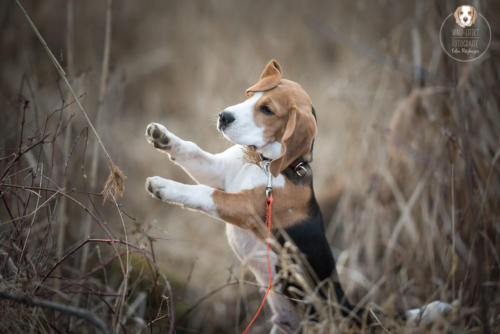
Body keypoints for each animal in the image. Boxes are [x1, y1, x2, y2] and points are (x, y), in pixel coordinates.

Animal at [146, 59, 454, 332]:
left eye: (267, 109)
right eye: (250, 94)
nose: (224, 116)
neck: (263, 163)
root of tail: (348, 309)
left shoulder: (245, 206)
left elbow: (204, 192)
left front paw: (165, 186)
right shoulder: (218, 171)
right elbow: (192, 152)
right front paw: (163, 137)